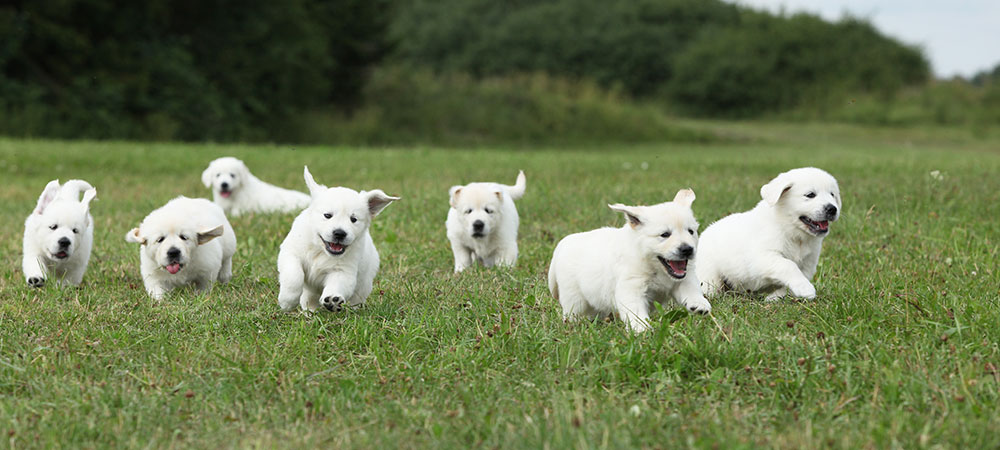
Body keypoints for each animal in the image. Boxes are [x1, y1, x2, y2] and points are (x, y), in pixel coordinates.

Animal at [276, 166, 400, 312]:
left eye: (353, 219)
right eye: (327, 215)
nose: (340, 233)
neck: (320, 250)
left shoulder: (343, 270)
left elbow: (337, 284)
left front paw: (333, 299)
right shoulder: (291, 253)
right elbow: (294, 276)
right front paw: (287, 301)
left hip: (364, 283)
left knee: (356, 298)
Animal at [548, 188, 712, 332]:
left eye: (691, 231)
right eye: (665, 234)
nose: (687, 249)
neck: (654, 267)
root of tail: (562, 244)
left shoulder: (684, 278)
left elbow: (691, 290)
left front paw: (699, 304)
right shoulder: (631, 287)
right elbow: (635, 310)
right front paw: (642, 329)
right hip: (574, 298)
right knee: (573, 312)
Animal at [696, 167, 844, 300]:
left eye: (832, 195)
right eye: (810, 195)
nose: (832, 209)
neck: (792, 232)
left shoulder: (808, 266)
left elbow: (788, 286)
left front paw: (775, 297)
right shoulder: (761, 257)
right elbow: (788, 265)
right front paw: (805, 288)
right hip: (709, 274)